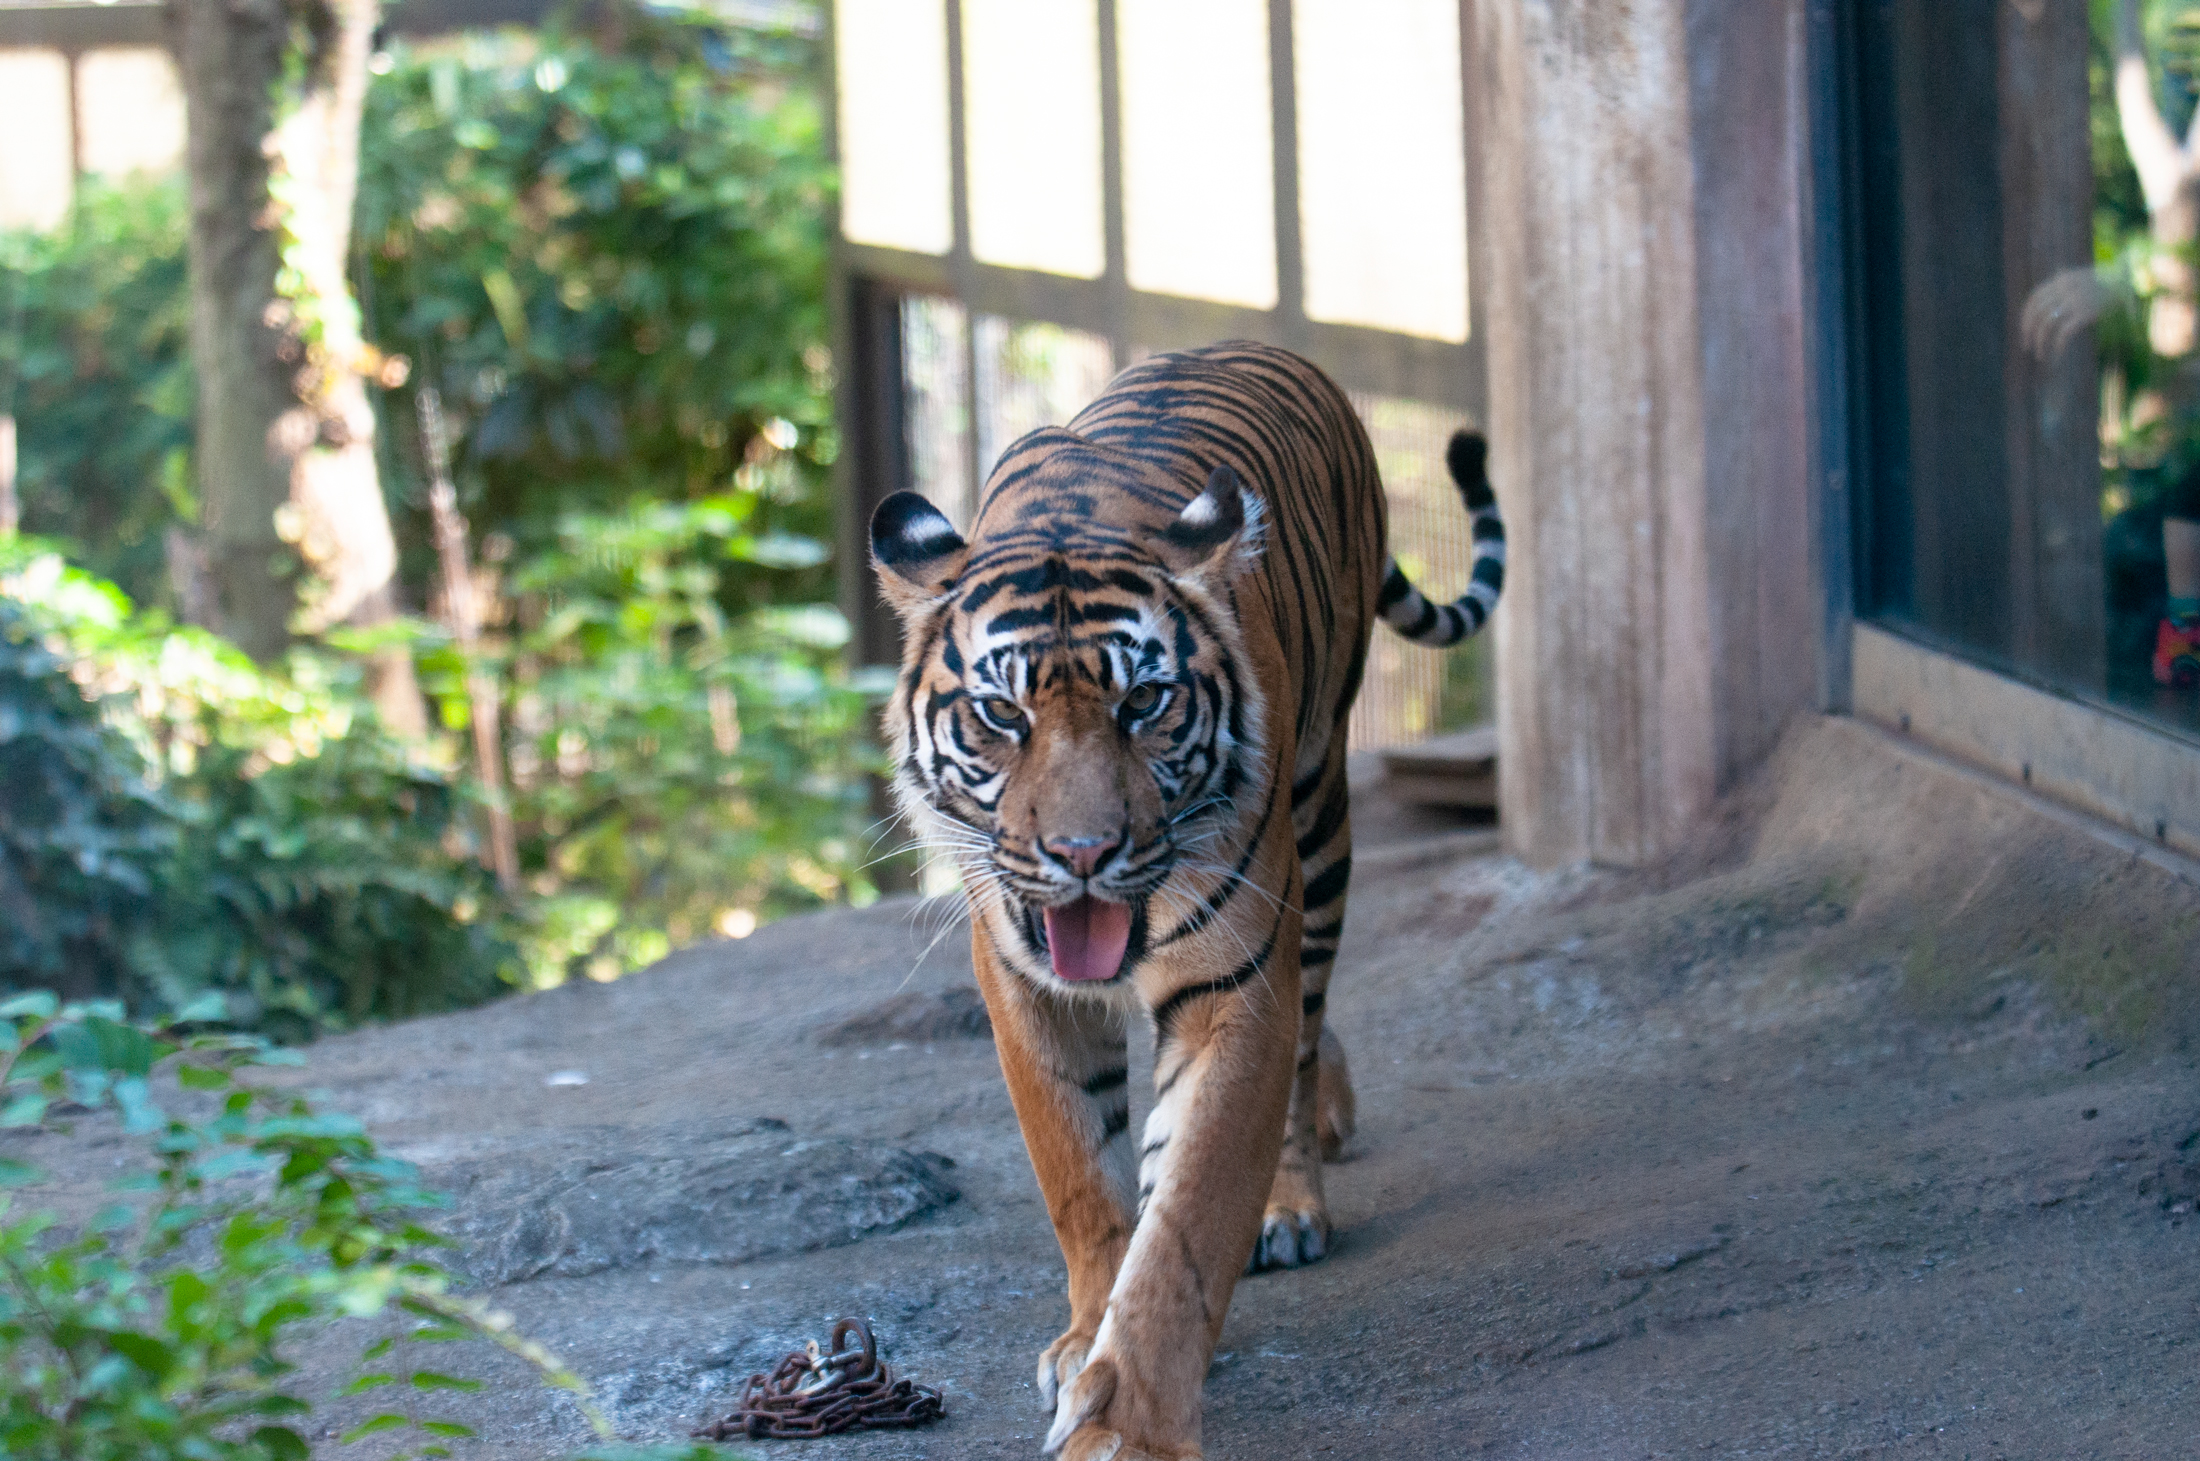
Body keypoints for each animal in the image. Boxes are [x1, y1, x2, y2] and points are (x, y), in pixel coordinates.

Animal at [866, 338, 1504, 1461]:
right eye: (1001, 714)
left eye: (1145, 702)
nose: (1082, 853)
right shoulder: (1021, 981)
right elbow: (1081, 1174)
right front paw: (1086, 1337)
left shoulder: (1235, 982)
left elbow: (1190, 1213)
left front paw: (1130, 1426)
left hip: (1319, 824)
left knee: (1307, 1028)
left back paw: (1294, 1194)